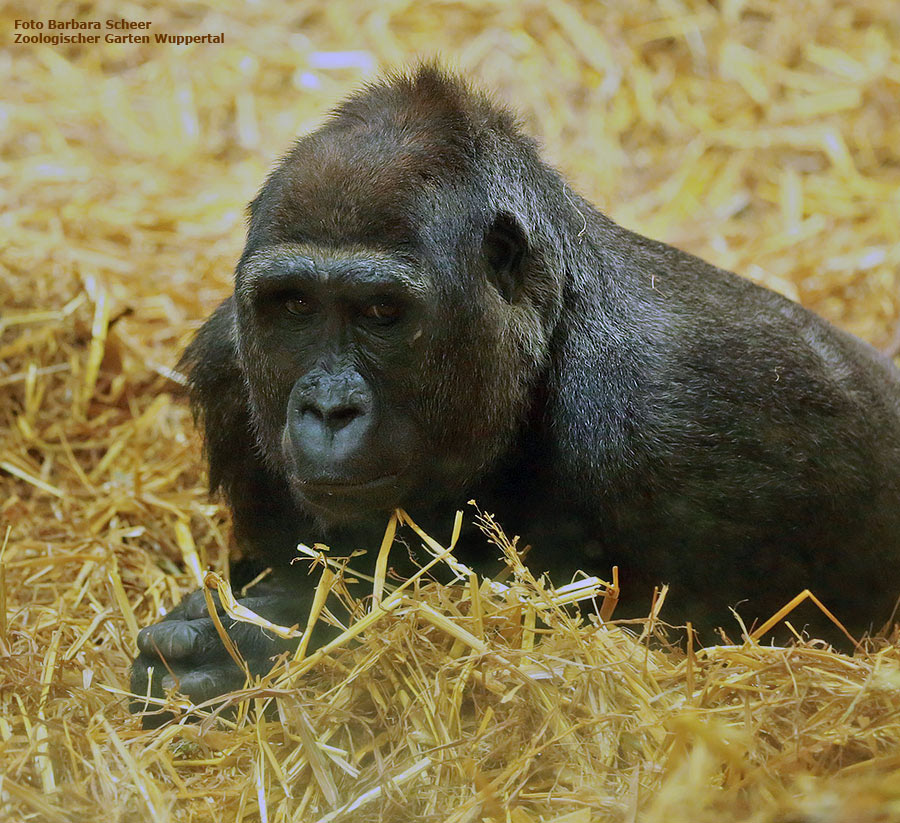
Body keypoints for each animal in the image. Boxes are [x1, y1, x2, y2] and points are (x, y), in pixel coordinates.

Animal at [132, 66, 900, 720]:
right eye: (293, 305)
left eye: (382, 312)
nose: (328, 410)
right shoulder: (228, 365)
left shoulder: (675, 413)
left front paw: (271, 632)